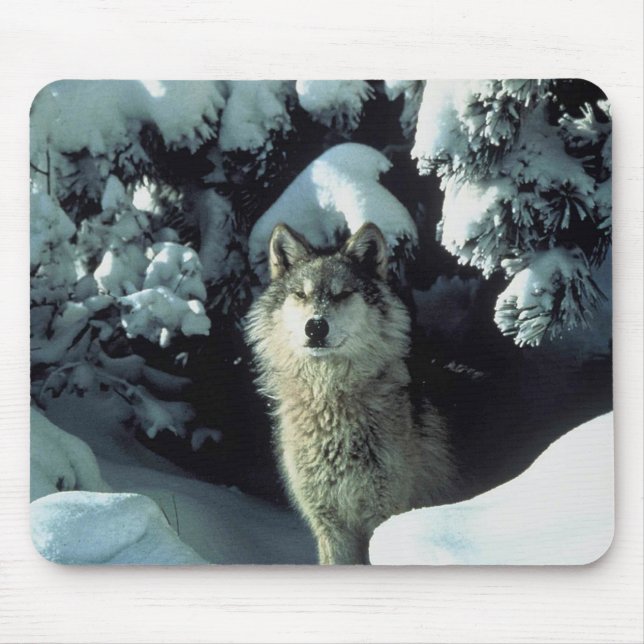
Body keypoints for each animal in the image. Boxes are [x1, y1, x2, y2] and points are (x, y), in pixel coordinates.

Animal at [245, 222, 456, 564]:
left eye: (342, 293)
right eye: (301, 294)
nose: (315, 326)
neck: (330, 402)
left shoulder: (384, 515)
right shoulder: (330, 525)